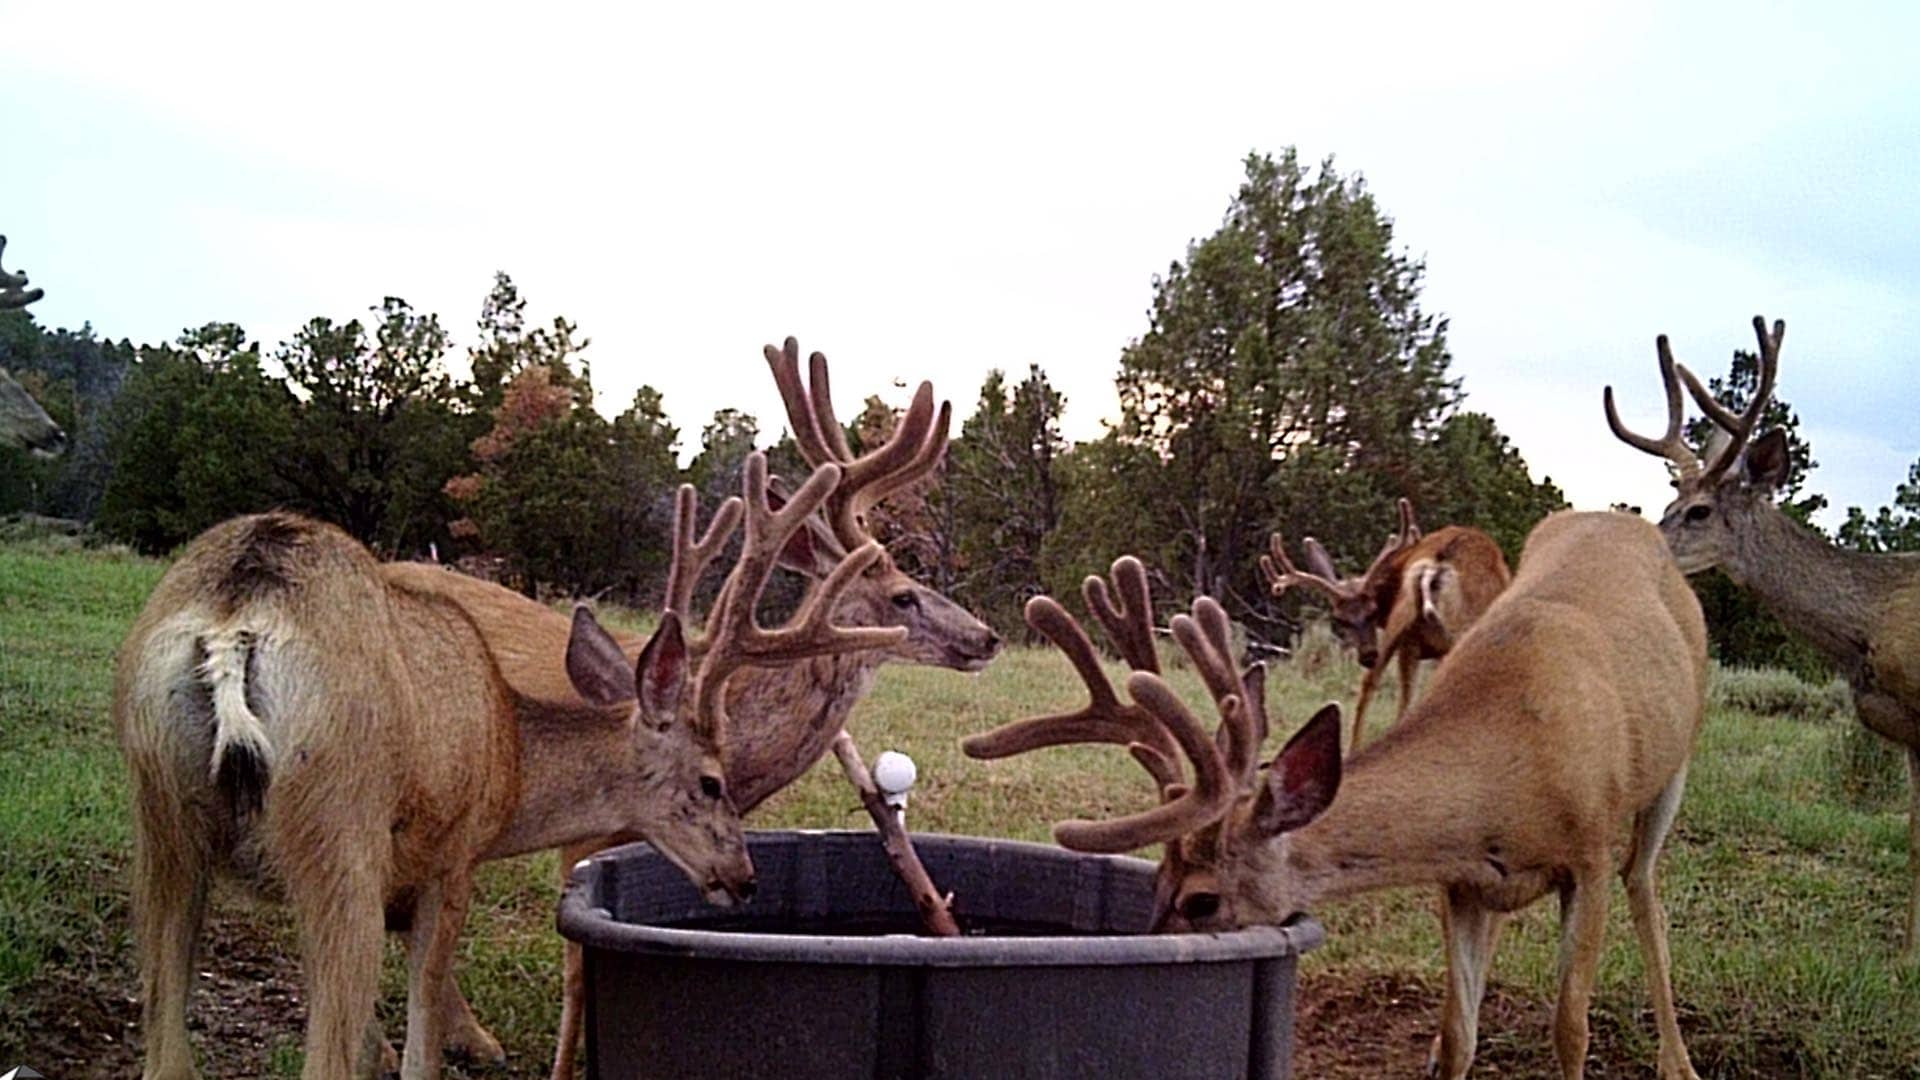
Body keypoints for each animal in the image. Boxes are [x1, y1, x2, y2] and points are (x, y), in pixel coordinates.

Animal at [118, 454, 901, 1080]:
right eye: (712, 782)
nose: (743, 877)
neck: (514, 761)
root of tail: (238, 612)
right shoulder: (450, 858)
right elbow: (418, 1051)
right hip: (339, 825)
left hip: (161, 819)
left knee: (166, 1051)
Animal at [380, 337, 1001, 1078]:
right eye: (904, 595)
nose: (988, 636)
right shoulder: (584, 839)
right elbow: (576, 970)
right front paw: (562, 1067)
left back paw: (470, 1039)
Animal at [1265, 498, 1510, 750]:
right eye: (1340, 619)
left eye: (1372, 612)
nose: (1366, 654)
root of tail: (1435, 564)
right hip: (1440, 625)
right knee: (1383, 687)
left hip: (1407, 619)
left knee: (1375, 682)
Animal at [1606, 314, 1920, 955]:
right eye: (1671, 501)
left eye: (1699, 511)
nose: (1642, 542)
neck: (1870, 622)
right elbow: (1916, 837)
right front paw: (1907, 952)